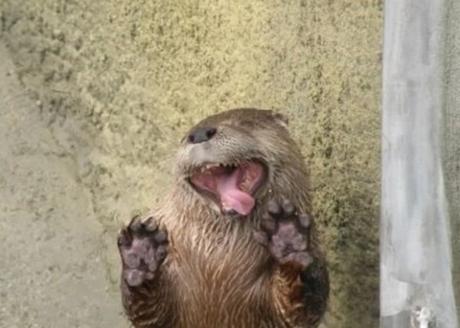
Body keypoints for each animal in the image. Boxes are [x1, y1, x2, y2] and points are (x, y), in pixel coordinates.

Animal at [117, 109, 328, 326]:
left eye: (245, 123)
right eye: (186, 136)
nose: (199, 134)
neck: (217, 260)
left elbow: (302, 308)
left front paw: (288, 238)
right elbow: (147, 314)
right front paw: (142, 251)